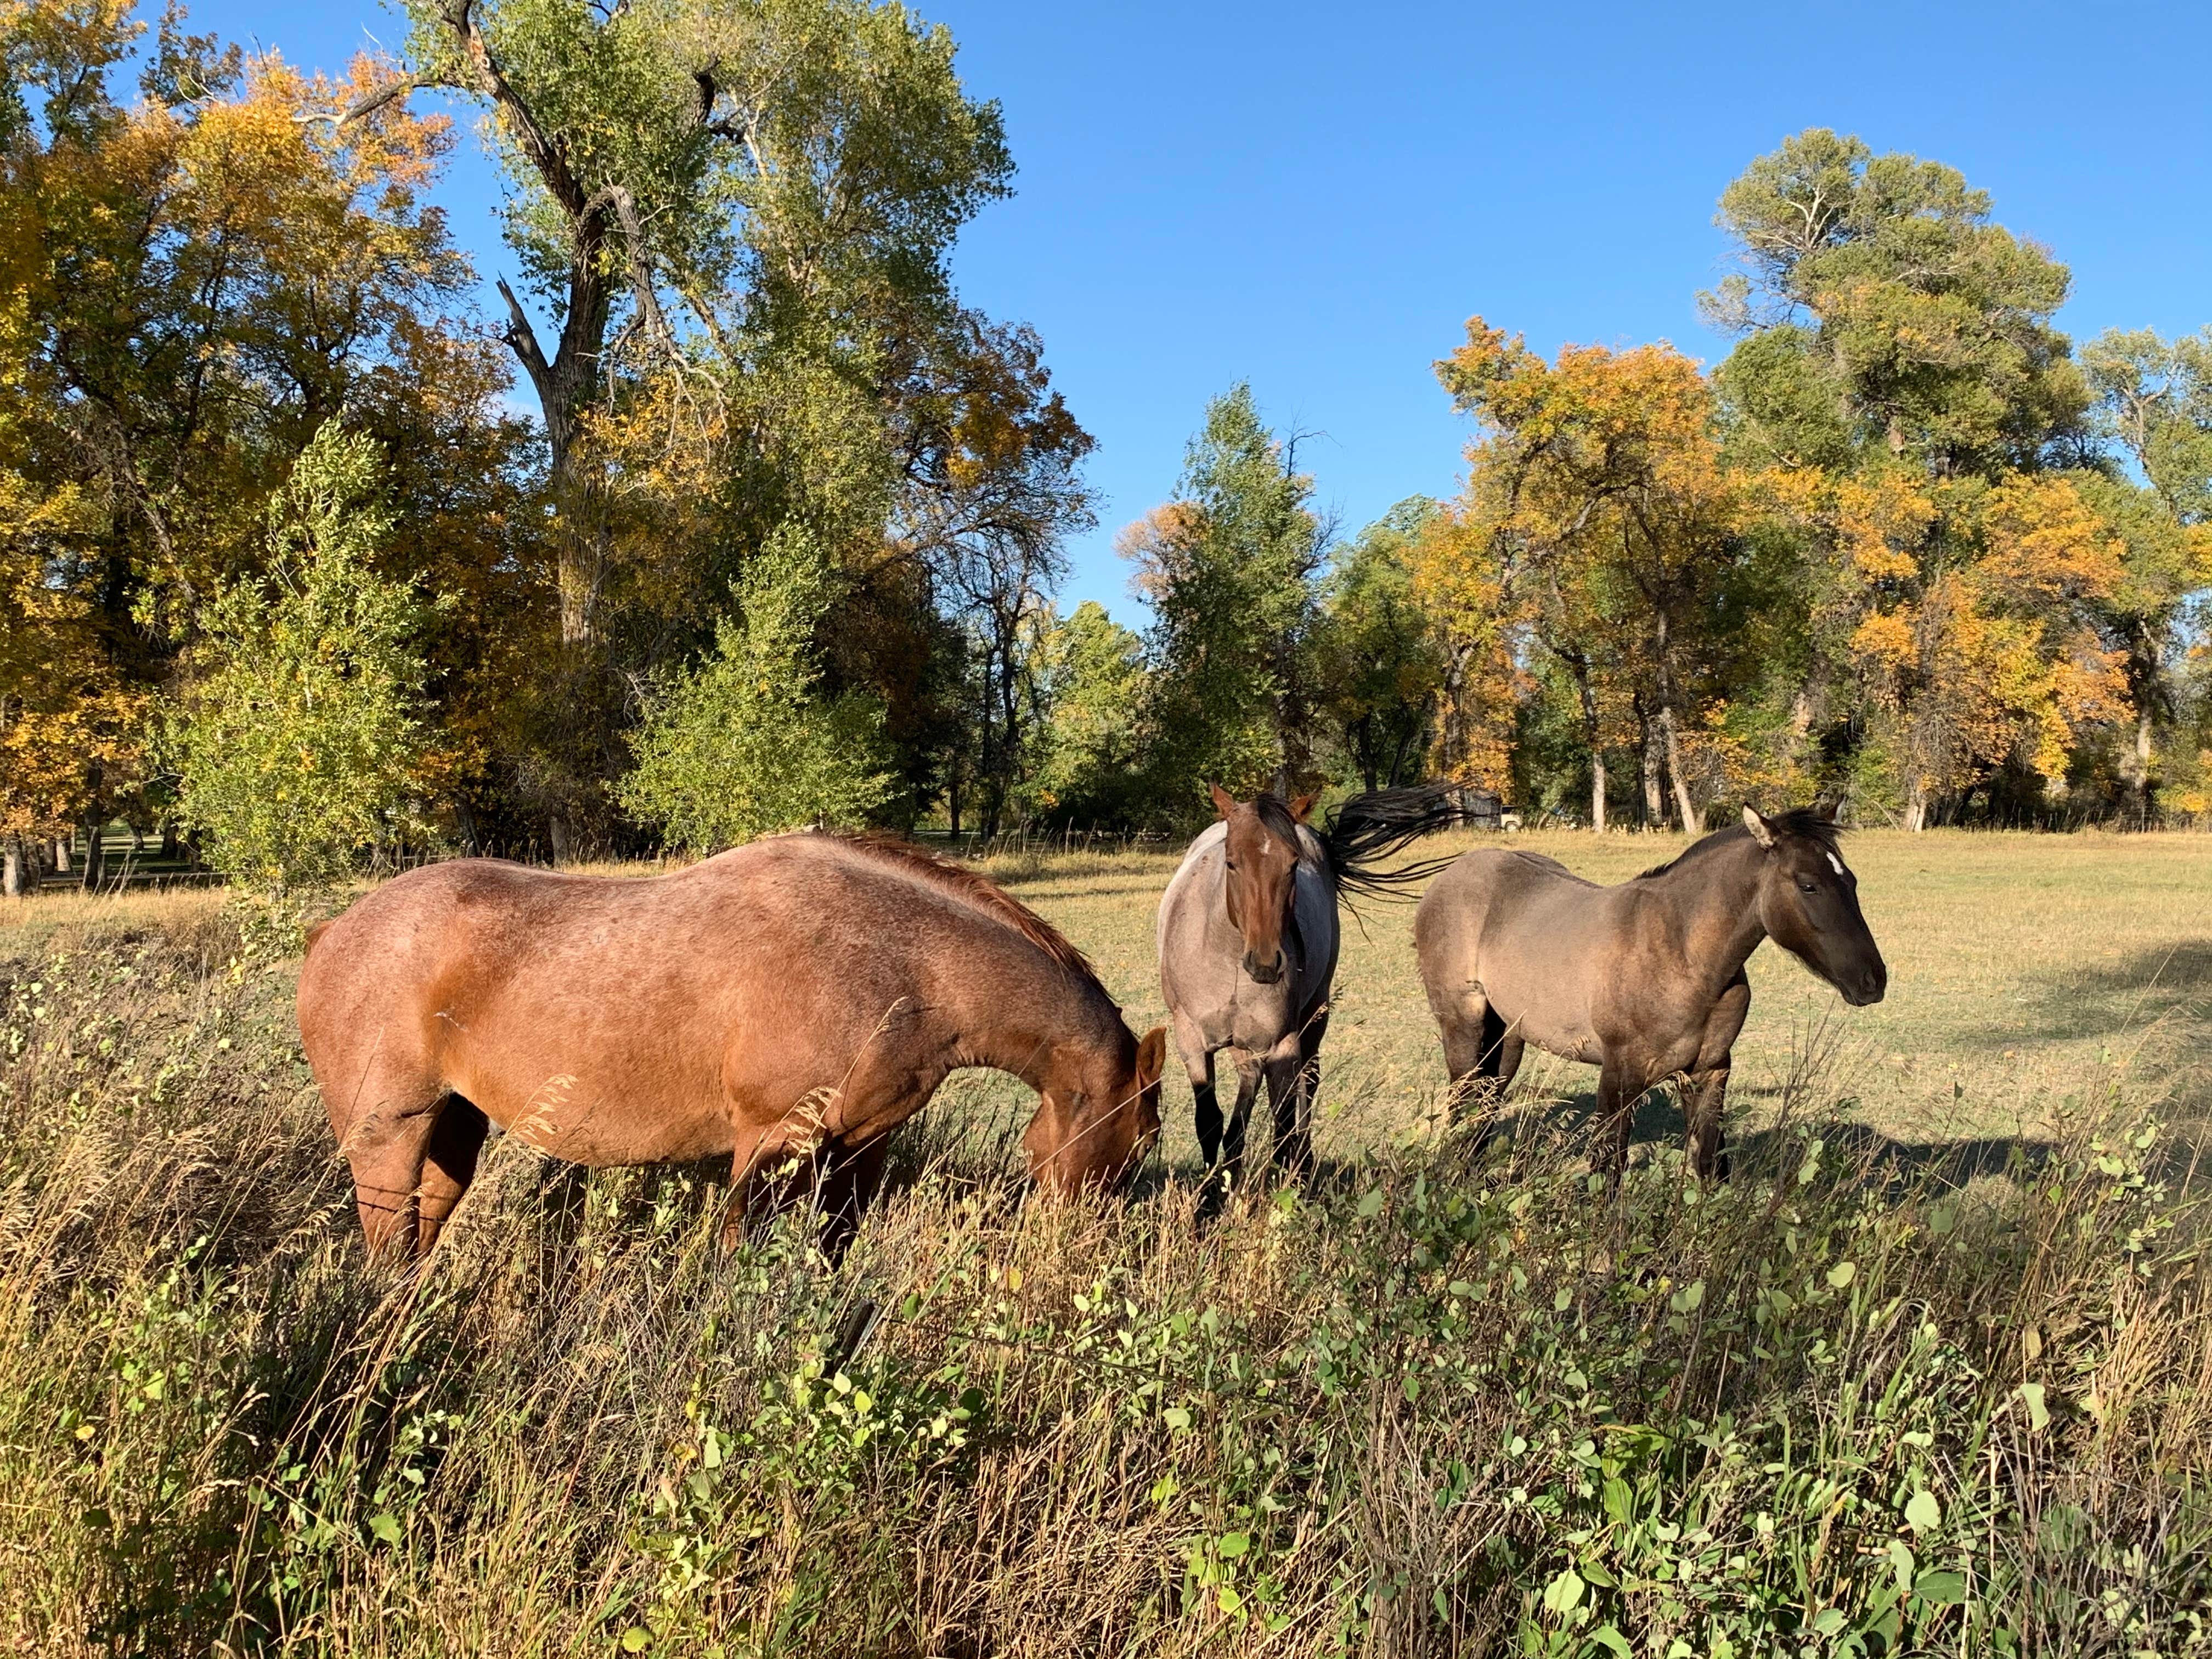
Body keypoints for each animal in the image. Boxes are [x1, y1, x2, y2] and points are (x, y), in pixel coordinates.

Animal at [301, 836, 1167, 1265]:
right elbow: (733, 1255)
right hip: (389, 1138)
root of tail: (331, 932)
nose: (1084, 1252)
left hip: (454, 1132)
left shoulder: (860, 1148)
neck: (906, 962)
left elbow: (831, 1255)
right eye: (1145, 1141)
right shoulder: (771, 1141)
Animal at [1159, 787, 1469, 1203]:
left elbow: (1279, 1122)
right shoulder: (1191, 1041)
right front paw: (1209, 1202)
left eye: (1292, 866)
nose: (1266, 963)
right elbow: (1212, 1122)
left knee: (1306, 1084)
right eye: (1232, 863)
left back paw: (1303, 1165)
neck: (1226, 957)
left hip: (1313, 1018)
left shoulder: (1279, 1045)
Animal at [1415, 805, 1884, 1186]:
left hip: (1508, 1035)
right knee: (1463, 1101)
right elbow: (1609, 1169)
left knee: (1486, 1102)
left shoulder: (1710, 1071)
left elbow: (1712, 1165)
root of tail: (1450, 875)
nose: (1873, 981)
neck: (1682, 953)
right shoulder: (1620, 1073)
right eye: (1808, 885)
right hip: (1462, 1025)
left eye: (1852, 881)